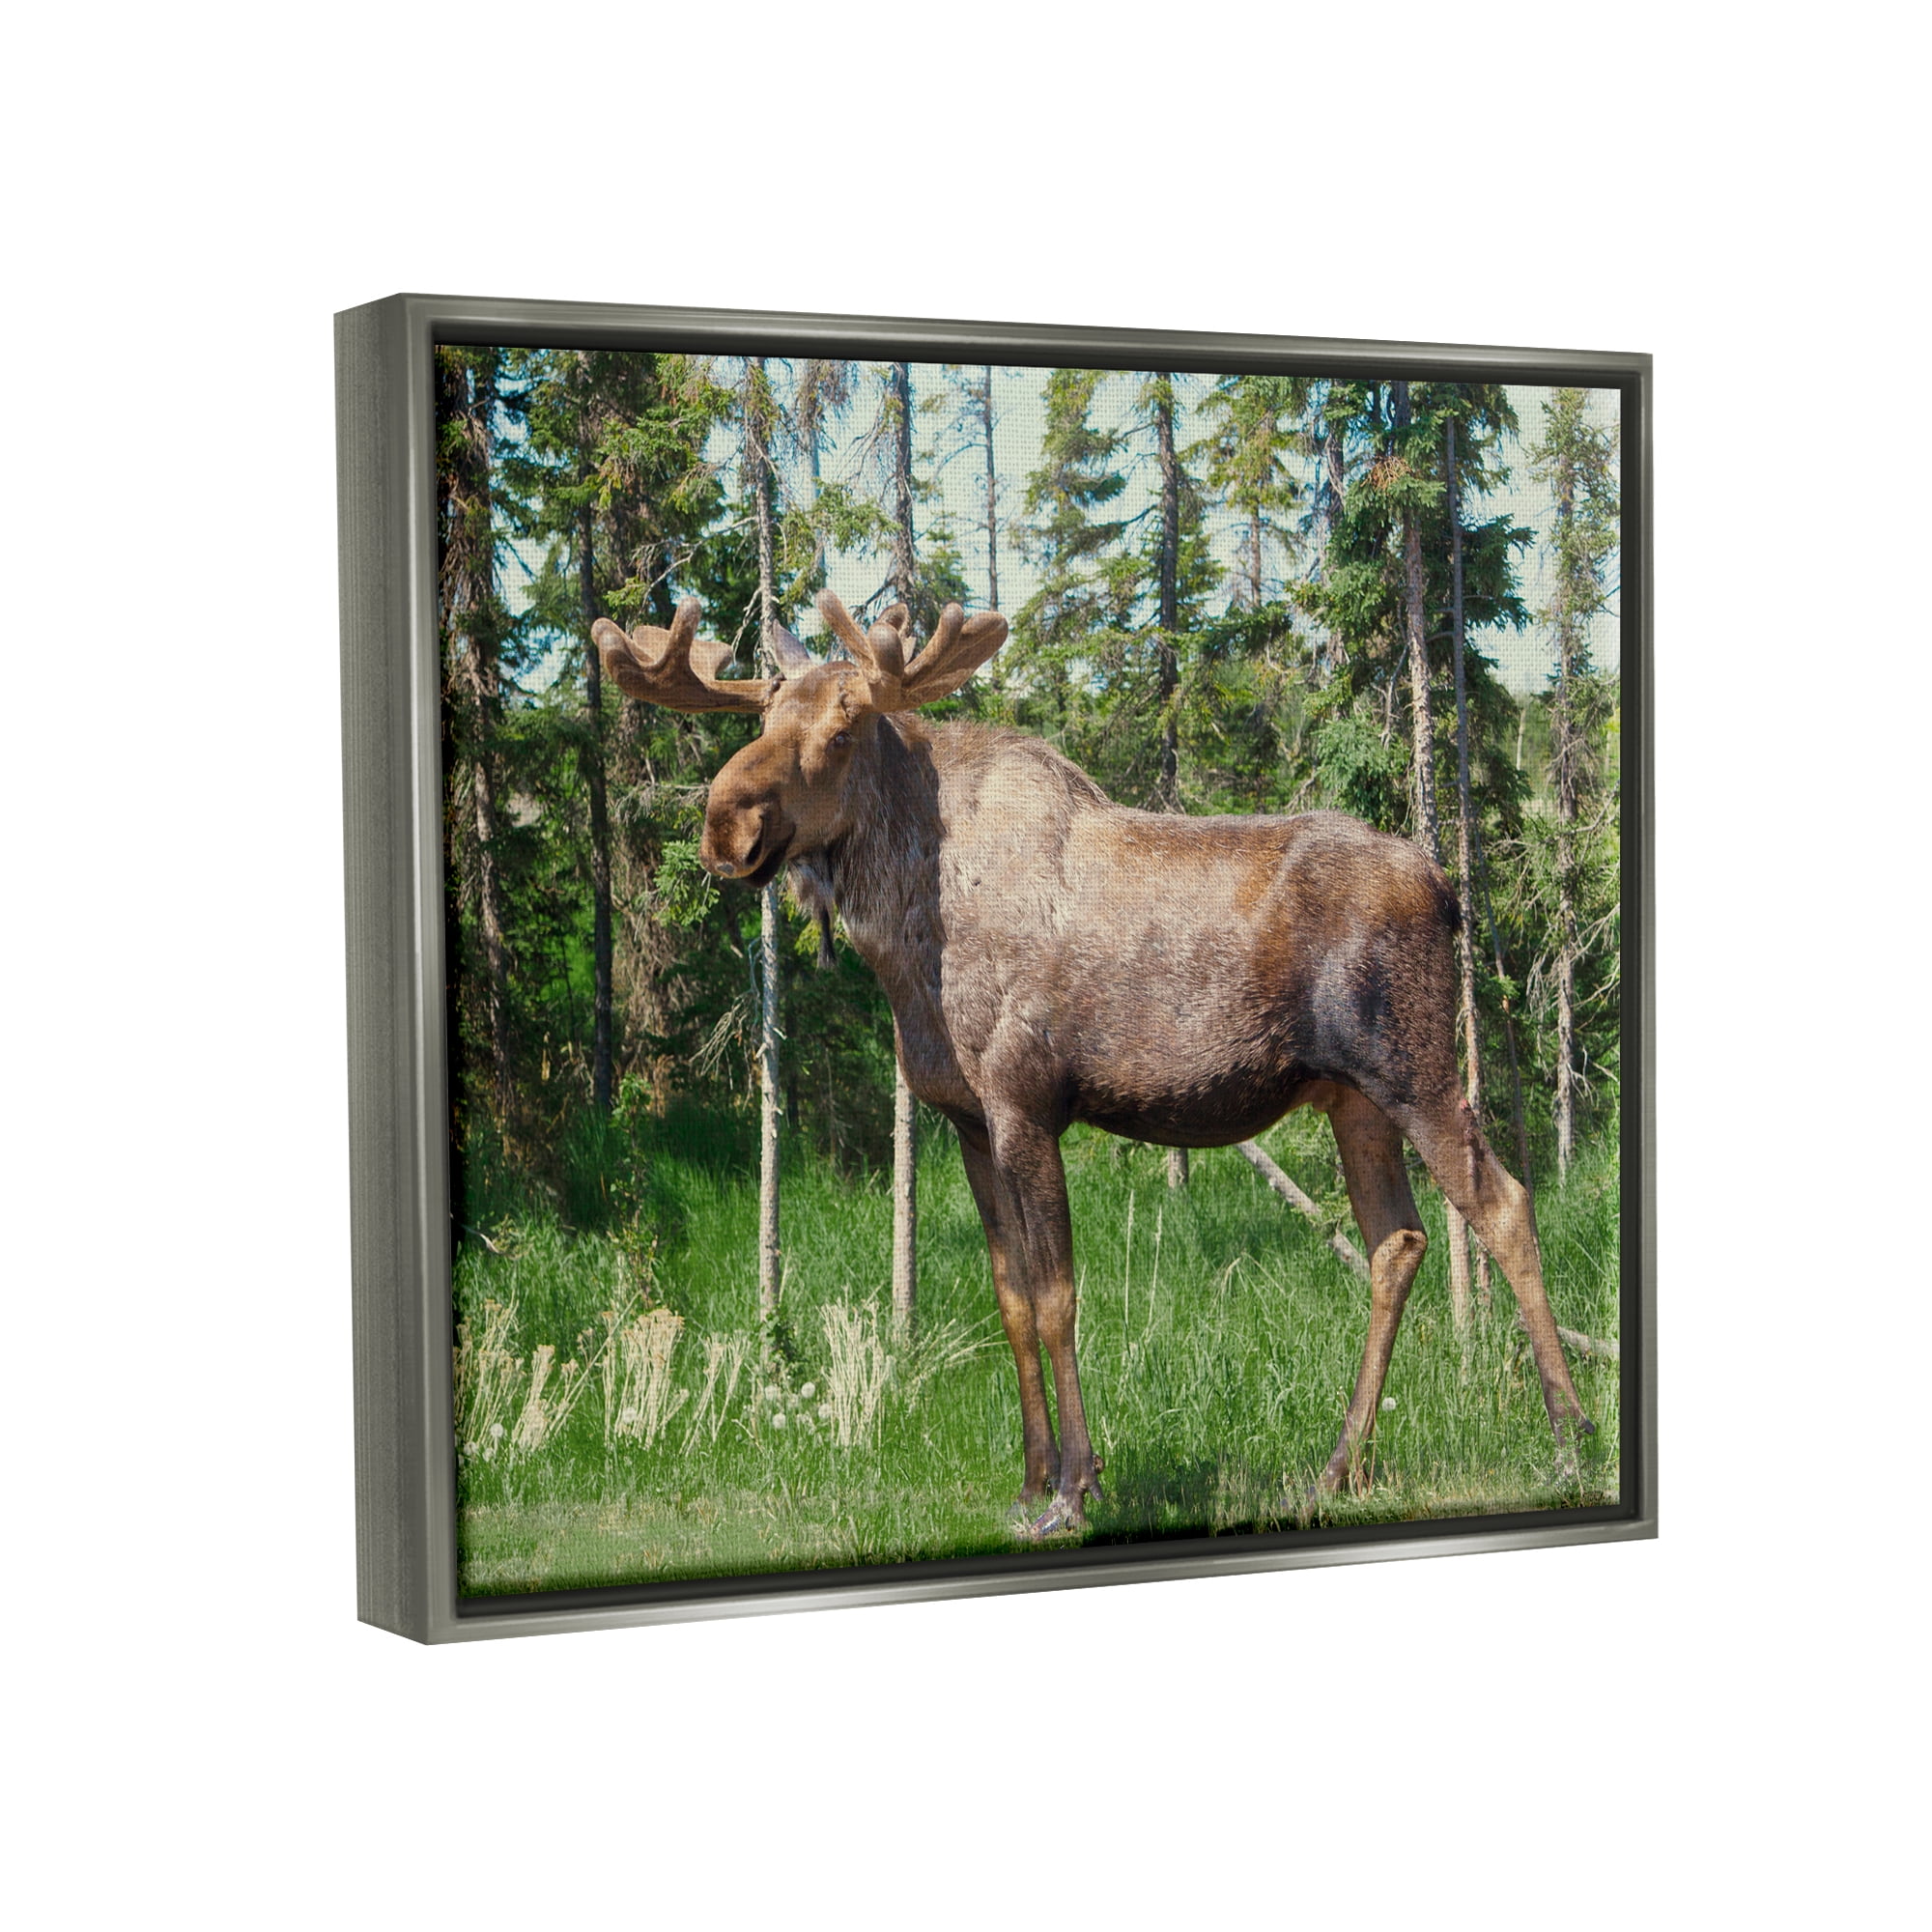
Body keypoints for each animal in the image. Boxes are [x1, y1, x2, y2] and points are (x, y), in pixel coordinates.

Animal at [591, 590, 1595, 1536]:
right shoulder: (967, 1122)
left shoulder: (1026, 1105)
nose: (726, 826)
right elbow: (1008, 1300)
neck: (906, 946)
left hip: (1415, 1068)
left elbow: (1056, 1297)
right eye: (760, 714)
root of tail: (1450, 891)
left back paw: (1568, 1437)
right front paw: (1030, 1479)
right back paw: (1340, 1466)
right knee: (1399, 1240)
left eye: (844, 724)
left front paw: (1075, 1490)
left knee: (1505, 1206)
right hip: (1351, 1099)